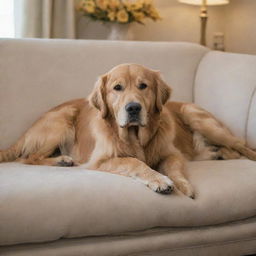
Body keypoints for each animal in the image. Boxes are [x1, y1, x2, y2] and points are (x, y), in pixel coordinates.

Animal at [0, 63, 256, 198]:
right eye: (117, 88)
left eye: (143, 86)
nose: (133, 108)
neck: (135, 137)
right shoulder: (101, 160)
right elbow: (134, 162)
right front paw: (159, 180)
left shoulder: (171, 153)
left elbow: (175, 166)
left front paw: (182, 185)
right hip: (62, 119)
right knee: (28, 157)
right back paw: (61, 160)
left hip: (199, 119)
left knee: (240, 146)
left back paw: (221, 152)